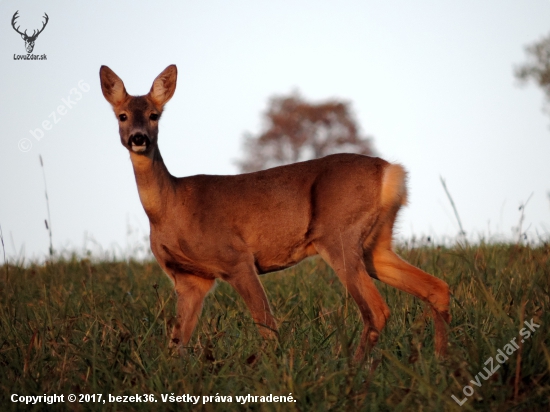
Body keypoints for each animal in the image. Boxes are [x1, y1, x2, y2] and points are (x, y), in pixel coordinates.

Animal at [99, 62, 452, 358]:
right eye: (122, 116)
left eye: (155, 115)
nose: (139, 138)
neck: (170, 208)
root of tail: (391, 172)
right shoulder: (190, 278)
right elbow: (176, 344)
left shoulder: (236, 258)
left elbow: (267, 326)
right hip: (374, 245)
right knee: (437, 287)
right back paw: (439, 364)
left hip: (339, 235)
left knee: (378, 311)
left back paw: (356, 373)